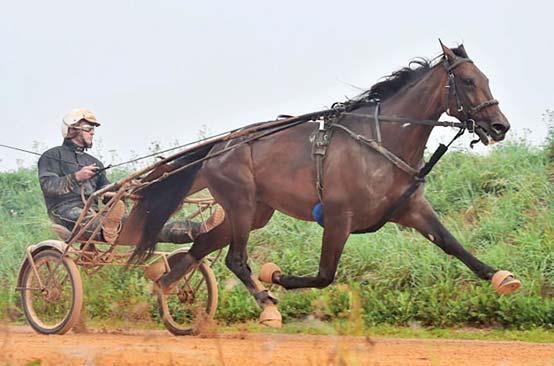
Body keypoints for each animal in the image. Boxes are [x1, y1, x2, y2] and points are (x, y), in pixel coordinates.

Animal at [118, 42, 520, 326]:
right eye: (468, 81)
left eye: (486, 79)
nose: (500, 126)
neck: (381, 141)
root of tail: (219, 145)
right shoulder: (339, 217)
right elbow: (325, 276)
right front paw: (276, 276)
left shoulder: (412, 209)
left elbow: (454, 245)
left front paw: (500, 276)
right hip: (241, 203)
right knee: (235, 258)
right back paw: (265, 304)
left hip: (255, 212)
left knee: (200, 246)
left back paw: (167, 290)